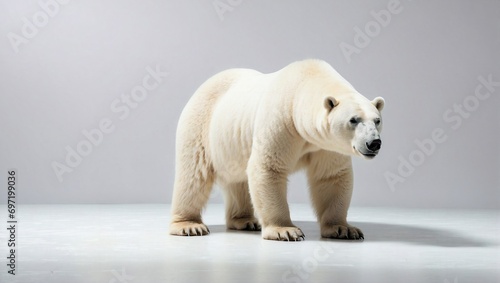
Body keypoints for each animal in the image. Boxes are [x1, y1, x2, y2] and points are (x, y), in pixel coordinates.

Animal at [170, 59, 384, 242]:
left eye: (377, 120)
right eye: (353, 120)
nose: (374, 143)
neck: (303, 84)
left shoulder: (327, 144)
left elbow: (331, 176)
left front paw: (343, 229)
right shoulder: (282, 120)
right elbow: (268, 167)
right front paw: (285, 230)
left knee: (238, 181)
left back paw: (246, 221)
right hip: (200, 127)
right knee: (193, 176)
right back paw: (188, 225)